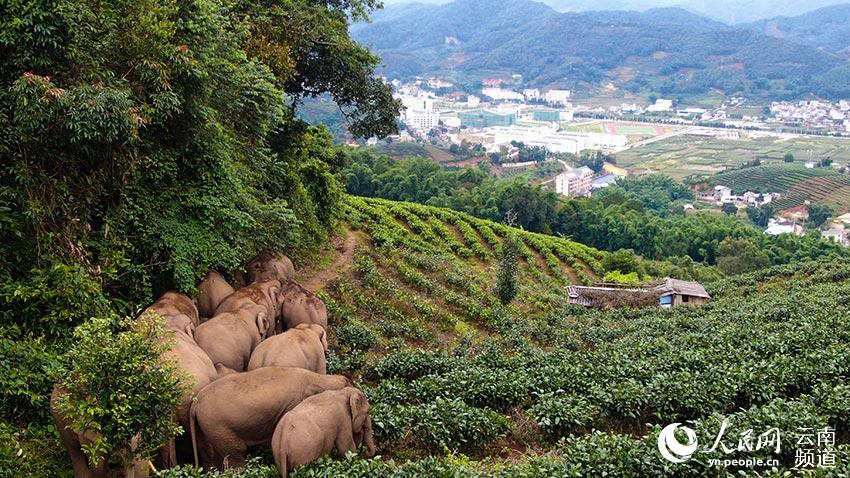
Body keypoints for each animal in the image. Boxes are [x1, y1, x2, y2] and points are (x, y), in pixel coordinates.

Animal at [189, 367, 349, 469]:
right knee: (235, 454)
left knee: (210, 454)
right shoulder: (292, 404)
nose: (345, 378)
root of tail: (196, 402)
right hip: (218, 427)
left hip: (205, 427)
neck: (314, 377)